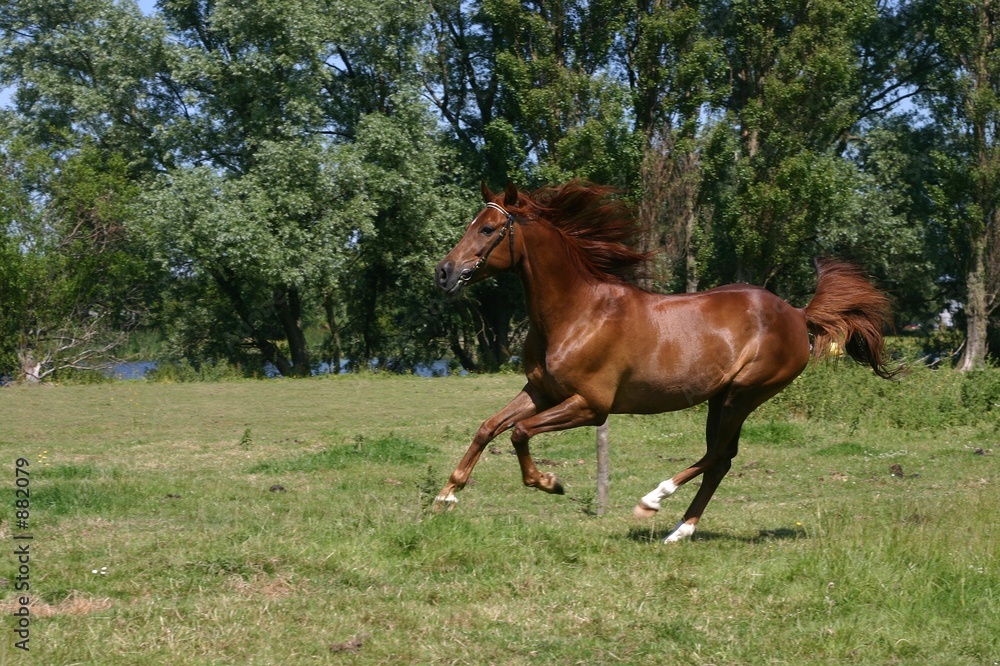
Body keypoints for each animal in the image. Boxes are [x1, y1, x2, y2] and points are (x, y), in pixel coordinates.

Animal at [434, 180, 896, 540]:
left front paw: (549, 482)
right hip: (720, 398)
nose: (444, 273)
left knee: (717, 455)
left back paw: (652, 501)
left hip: (744, 394)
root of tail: (798, 316)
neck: (576, 313)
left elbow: (519, 433)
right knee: (721, 460)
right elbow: (489, 427)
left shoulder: (591, 406)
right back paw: (680, 531)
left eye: (489, 228)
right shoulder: (541, 391)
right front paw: (446, 495)